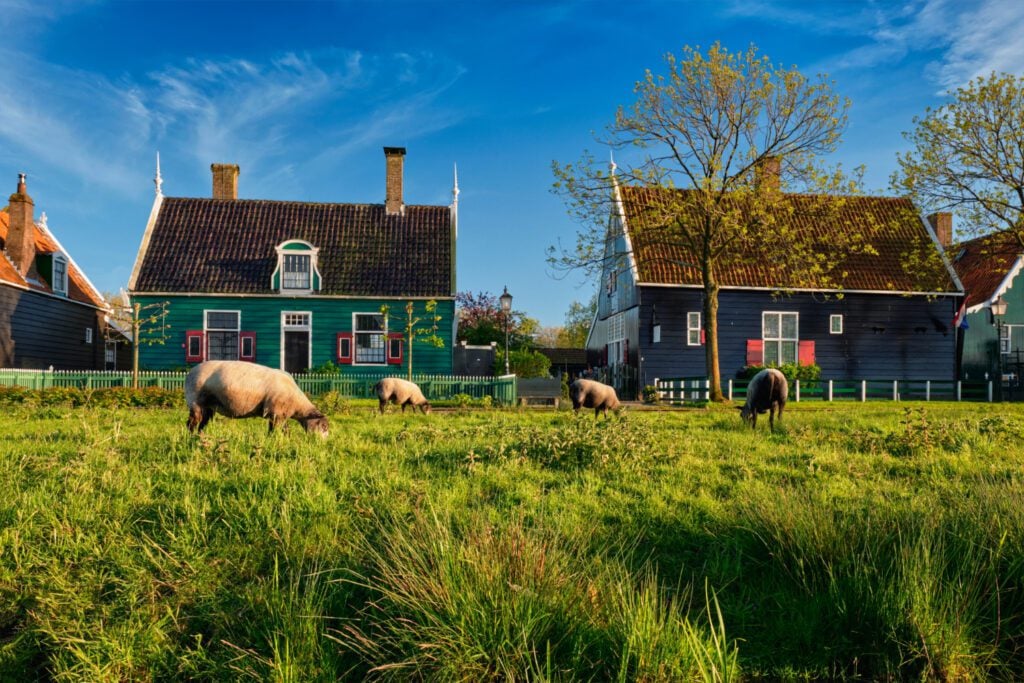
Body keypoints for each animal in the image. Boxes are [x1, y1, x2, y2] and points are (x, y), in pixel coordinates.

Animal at [184, 360, 327, 436]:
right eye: (324, 427)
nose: (322, 445)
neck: (298, 405)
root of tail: (190, 373)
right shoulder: (276, 413)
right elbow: (274, 431)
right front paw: (272, 440)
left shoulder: (280, 414)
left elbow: (285, 430)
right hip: (195, 401)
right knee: (191, 423)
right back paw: (191, 437)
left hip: (208, 406)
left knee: (203, 423)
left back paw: (201, 437)